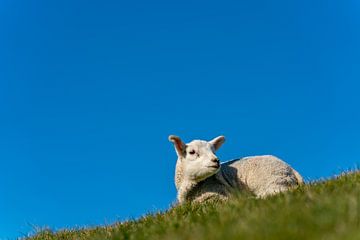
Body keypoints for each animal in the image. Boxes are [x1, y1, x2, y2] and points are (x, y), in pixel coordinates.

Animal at [169, 134, 304, 203]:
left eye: (213, 151)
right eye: (192, 152)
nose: (216, 160)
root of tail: (291, 168)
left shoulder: (216, 195)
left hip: (271, 178)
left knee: (277, 192)